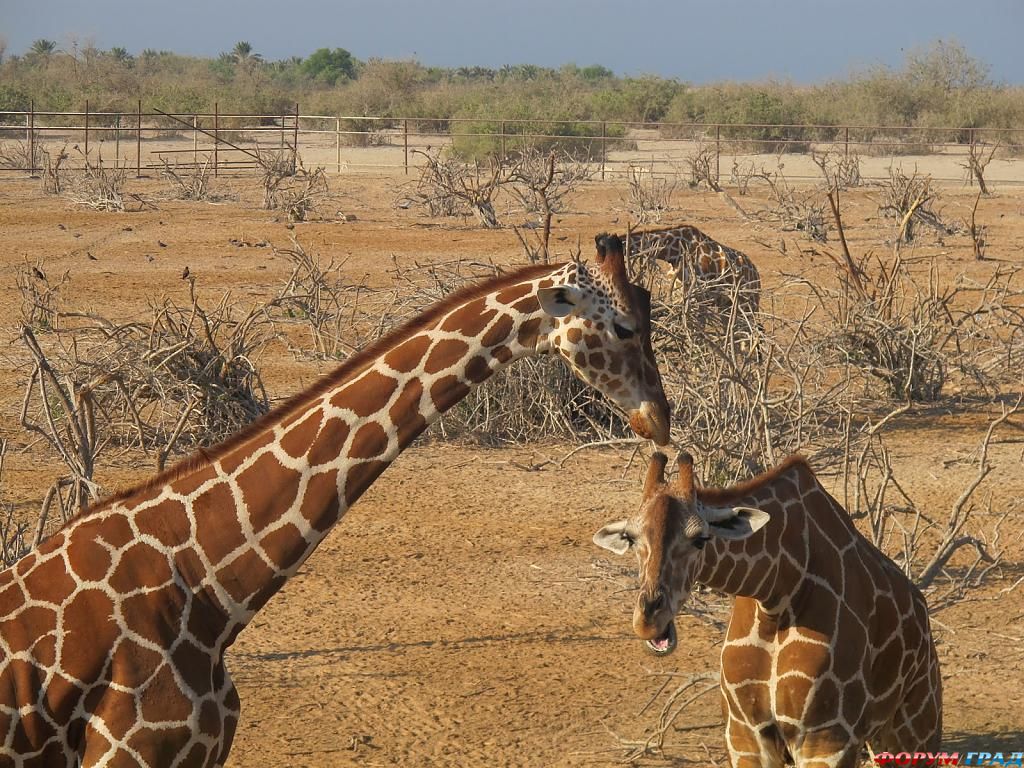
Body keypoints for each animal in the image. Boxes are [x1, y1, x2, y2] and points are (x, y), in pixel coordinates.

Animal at [593, 454, 942, 765]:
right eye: (630, 538)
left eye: (701, 538)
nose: (649, 620)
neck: (777, 593)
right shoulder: (744, 733)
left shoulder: (827, 737)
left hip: (916, 725)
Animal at [622, 222, 761, 315]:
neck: (675, 252)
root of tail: (757, 274)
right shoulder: (678, 294)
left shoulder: (699, 297)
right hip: (728, 306)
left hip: (748, 304)